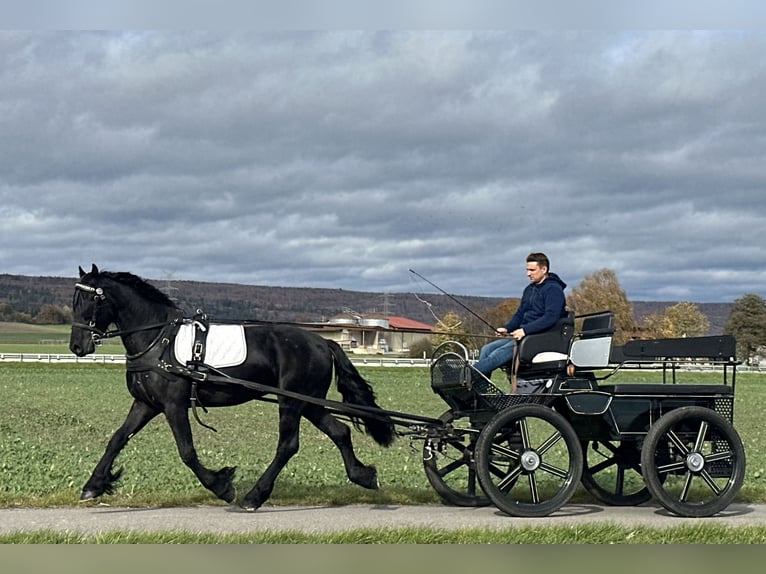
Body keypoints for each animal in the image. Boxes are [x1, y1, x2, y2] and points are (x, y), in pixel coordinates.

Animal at [68, 264, 396, 510]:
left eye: (93, 300)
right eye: (74, 300)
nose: (77, 346)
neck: (158, 340)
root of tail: (322, 341)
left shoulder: (174, 405)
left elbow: (187, 451)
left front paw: (222, 486)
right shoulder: (146, 404)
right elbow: (117, 439)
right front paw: (93, 485)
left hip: (292, 402)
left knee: (288, 445)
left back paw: (254, 496)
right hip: (309, 402)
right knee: (340, 431)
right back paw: (363, 476)